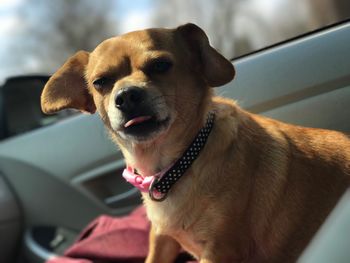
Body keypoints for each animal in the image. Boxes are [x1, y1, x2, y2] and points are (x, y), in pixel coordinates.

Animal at [41, 23, 350, 262]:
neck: (177, 164)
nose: (127, 95)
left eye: (161, 65)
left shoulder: (220, 251)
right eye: (100, 82)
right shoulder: (161, 238)